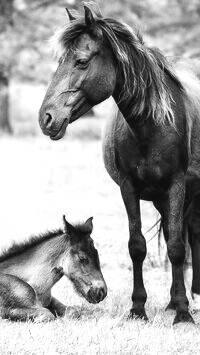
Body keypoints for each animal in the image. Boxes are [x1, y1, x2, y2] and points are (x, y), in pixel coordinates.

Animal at [39, 5, 200, 326]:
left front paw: (184, 314)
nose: (46, 117)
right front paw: (139, 308)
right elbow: (137, 246)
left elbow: (177, 248)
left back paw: (192, 298)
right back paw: (172, 302)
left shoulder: (176, 184)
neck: (152, 124)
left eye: (81, 61)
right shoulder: (129, 187)